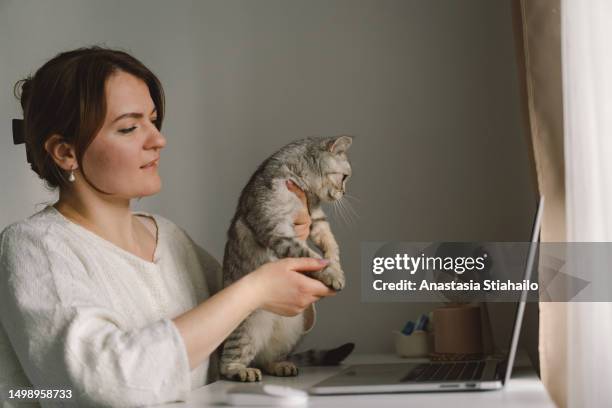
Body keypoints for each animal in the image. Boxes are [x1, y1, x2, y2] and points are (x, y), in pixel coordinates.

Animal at [220, 135, 354, 380]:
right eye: (345, 177)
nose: (344, 192)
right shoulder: (277, 228)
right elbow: (308, 253)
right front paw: (331, 273)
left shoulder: (317, 219)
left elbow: (331, 244)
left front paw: (335, 267)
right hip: (246, 329)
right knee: (230, 361)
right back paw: (241, 371)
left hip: (291, 332)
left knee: (267, 358)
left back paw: (281, 365)